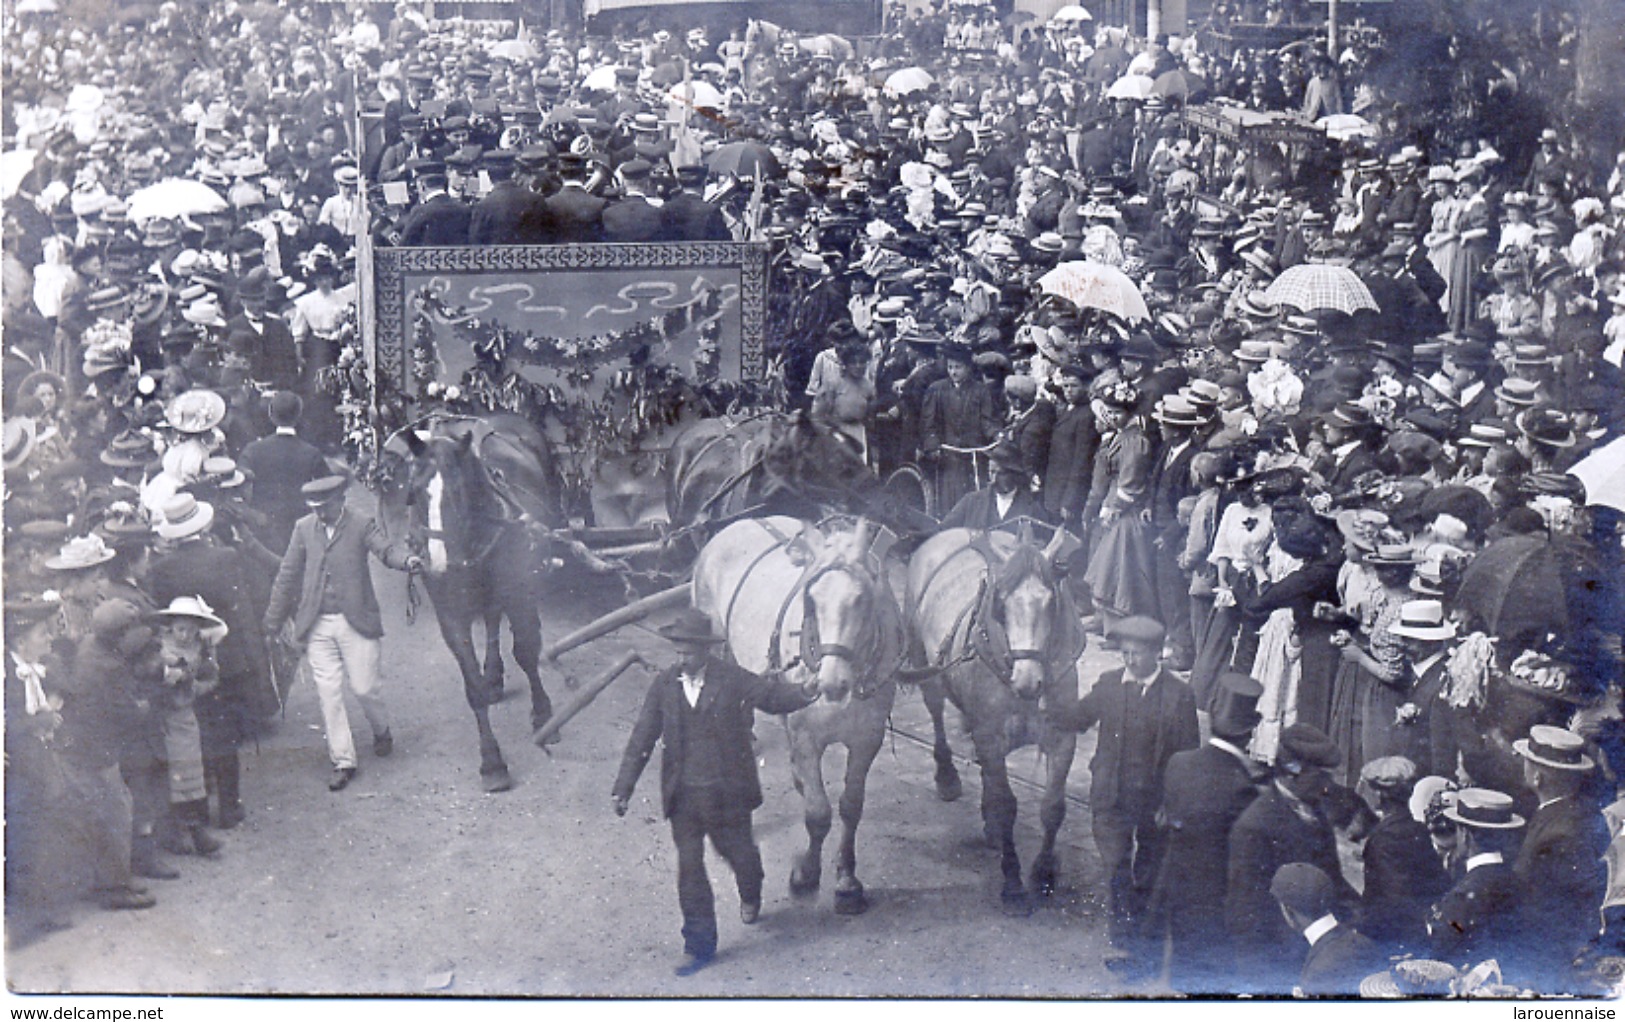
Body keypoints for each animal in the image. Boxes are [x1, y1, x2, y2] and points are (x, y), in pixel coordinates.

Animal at [378, 412, 568, 789]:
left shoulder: (519, 593)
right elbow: (472, 687)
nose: (437, 564)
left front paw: (543, 716)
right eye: (414, 493)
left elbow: (526, 651)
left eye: (457, 492)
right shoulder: (450, 616)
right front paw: (492, 762)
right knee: (492, 618)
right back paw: (493, 676)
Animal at [692, 513, 910, 909]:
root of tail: (741, 522)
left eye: (863, 599)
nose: (832, 684)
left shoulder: (866, 740)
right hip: (714, 646)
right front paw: (806, 873)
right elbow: (818, 813)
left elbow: (851, 805)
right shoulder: (808, 738)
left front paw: (846, 877)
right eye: (812, 598)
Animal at [903, 523, 1092, 909]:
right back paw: (947, 775)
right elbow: (1007, 805)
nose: (1028, 681)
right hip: (926, 667)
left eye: (1052, 601)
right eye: (1001, 603)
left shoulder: (1062, 737)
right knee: (937, 714)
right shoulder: (990, 735)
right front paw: (1014, 882)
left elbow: (1053, 806)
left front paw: (1044, 872)